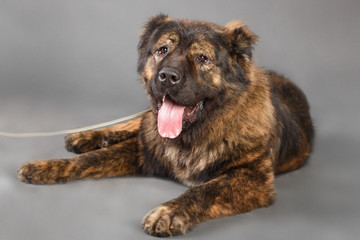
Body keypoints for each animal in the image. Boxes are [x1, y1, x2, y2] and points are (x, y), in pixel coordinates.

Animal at [18, 14, 314, 236]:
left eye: (202, 58)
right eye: (163, 50)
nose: (167, 76)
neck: (192, 135)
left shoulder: (252, 177)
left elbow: (204, 190)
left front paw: (169, 212)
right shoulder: (142, 151)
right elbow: (89, 160)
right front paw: (47, 167)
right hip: (148, 121)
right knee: (134, 123)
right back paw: (89, 136)